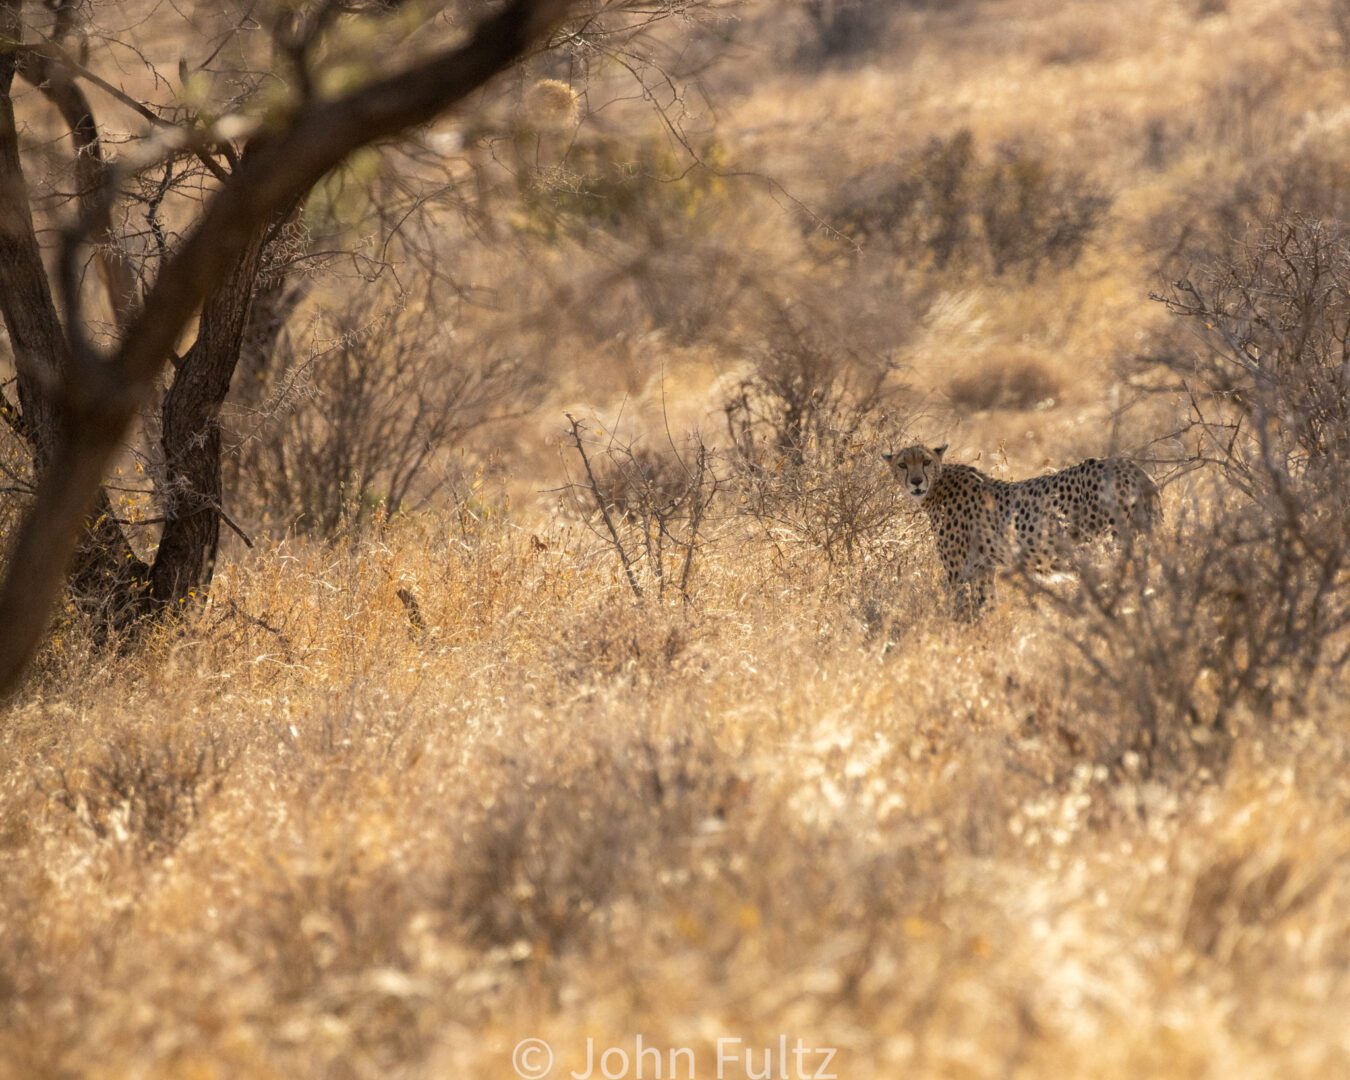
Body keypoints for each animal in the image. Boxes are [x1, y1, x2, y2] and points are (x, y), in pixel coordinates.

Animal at [885, 442, 1161, 615]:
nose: (916, 481)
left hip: (1108, 546)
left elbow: (962, 612)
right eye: (902, 464)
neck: (938, 485)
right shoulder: (983, 568)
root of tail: (1131, 467)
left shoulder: (959, 572)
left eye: (926, 461)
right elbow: (986, 605)